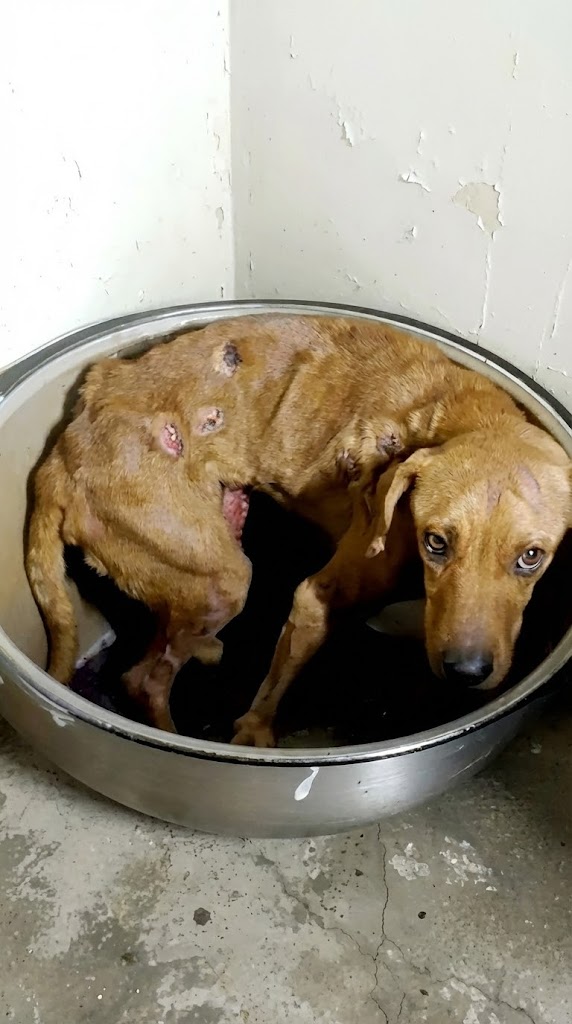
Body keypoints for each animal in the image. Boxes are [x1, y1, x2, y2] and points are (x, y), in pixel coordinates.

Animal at [25, 315, 572, 746]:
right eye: (435, 542)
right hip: (222, 578)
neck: (465, 420)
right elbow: (275, 684)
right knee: (145, 679)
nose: (465, 672)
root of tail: (59, 459)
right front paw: (254, 733)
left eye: (532, 556)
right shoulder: (316, 597)